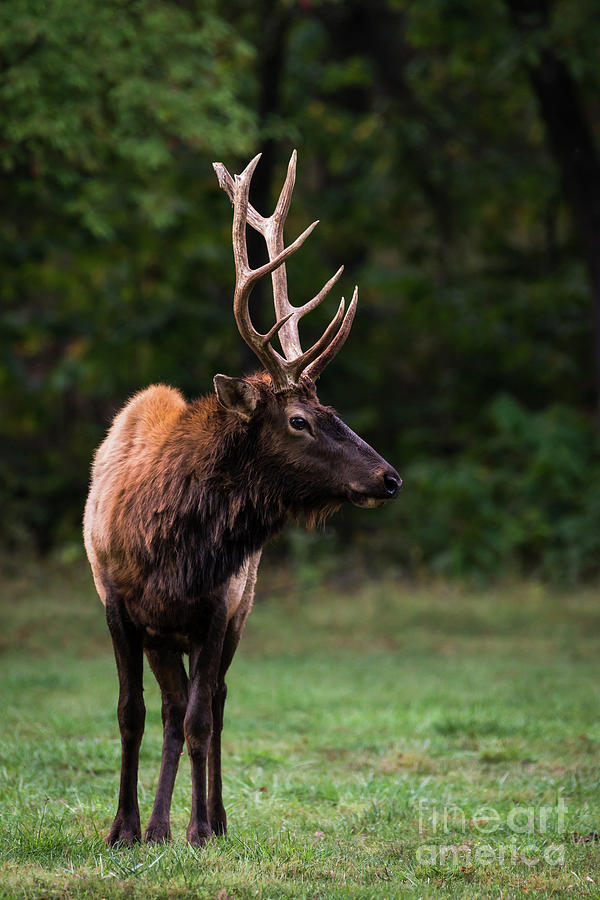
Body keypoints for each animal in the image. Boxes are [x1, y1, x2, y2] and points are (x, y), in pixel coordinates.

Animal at [84, 151, 400, 848]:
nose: (389, 477)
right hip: (162, 633)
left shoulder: (215, 607)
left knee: (212, 705)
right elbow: (130, 713)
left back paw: (208, 819)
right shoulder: (116, 601)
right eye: (301, 420)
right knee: (171, 708)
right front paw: (123, 828)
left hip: (240, 609)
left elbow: (204, 718)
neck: (168, 543)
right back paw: (156, 825)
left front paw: (201, 827)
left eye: (332, 410)